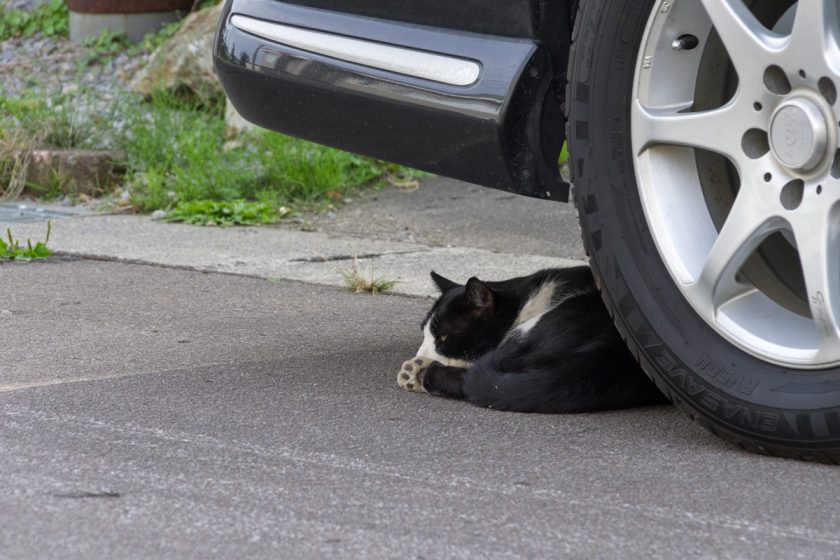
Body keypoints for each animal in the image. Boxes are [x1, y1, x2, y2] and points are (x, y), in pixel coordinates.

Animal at [398, 266, 668, 412]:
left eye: (443, 336)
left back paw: (416, 373)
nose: (420, 354)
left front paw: (420, 366)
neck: (523, 299)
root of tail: (604, 358)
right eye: (423, 333)